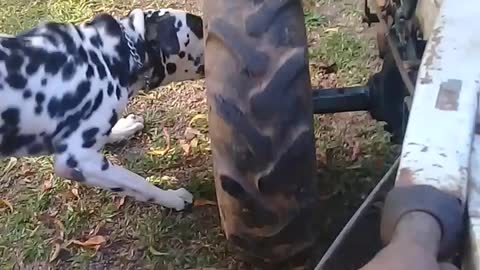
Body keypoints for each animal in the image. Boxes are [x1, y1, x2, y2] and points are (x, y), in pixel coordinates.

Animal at [0, 8, 204, 211]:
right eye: (199, 26)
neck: (105, 56)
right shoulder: (78, 161)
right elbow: (139, 184)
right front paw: (172, 197)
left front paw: (122, 128)